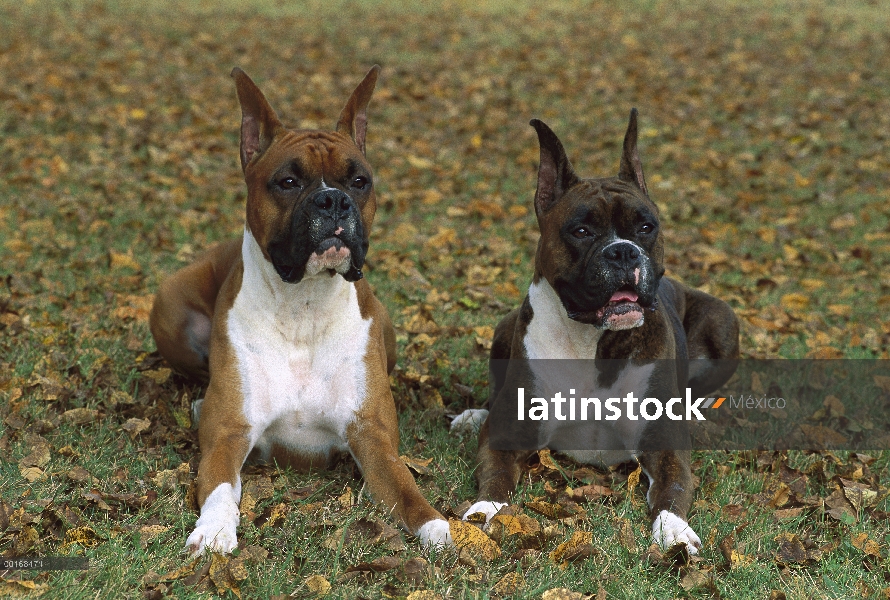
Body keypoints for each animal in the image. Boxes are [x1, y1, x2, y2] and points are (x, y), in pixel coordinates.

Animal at [150, 64, 450, 552]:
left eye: (358, 182)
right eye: (288, 182)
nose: (333, 200)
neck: (303, 308)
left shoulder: (373, 439)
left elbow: (405, 489)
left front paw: (437, 526)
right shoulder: (230, 436)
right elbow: (219, 487)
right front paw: (214, 529)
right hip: (169, 306)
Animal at [450, 111, 736, 552]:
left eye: (645, 227)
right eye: (581, 231)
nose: (622, 251)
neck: (592, 342)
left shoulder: (664, 447)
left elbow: (672, 488)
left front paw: (674, 530)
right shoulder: (508, 434)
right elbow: (496, 477)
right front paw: (485, 512)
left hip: (724, 323)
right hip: (503, 326)